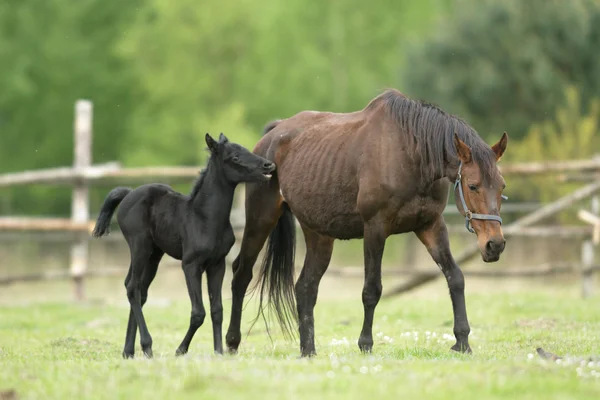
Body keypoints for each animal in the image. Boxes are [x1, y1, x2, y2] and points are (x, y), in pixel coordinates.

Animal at [92, 133, 276, 358]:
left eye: (247, 150)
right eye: (234, 157)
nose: (268, 165)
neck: (205, 218)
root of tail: (128, 193)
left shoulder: (217, 264)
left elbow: (217, 310)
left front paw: (218, 352)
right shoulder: (190, 265)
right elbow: (198, 312)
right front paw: (181, 349)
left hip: (154, 254)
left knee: (139, 289)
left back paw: (128, 351)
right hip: (139, 246)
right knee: (133, 288)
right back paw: (147, 345)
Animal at [225, 90, 506, 356]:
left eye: (502, 186)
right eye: (473, 186)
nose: (495, 245)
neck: (411, 155)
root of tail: (272, 136)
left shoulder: (430, 225)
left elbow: (455, 277)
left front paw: (462, 341)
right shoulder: (375, 228)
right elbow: (372, 289)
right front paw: (365, 344)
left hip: (318, 234)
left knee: (305, 287)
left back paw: (308, 350)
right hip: (260, 219)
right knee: (241, 273)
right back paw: (231, 342)